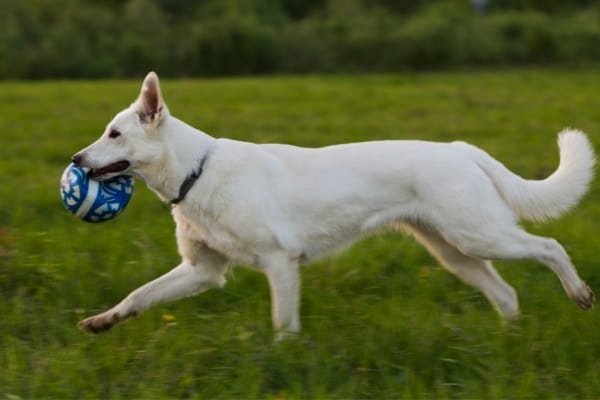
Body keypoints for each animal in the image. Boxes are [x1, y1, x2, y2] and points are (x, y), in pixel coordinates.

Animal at [74, 72, 596, 338]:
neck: (196, 170)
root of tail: (460, 148)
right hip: (455, 252)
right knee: (506, 294)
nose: (76, 160)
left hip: (480, 235)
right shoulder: (202, 271)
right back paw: (510, 339)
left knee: (550, 247)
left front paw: (283, 357)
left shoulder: (280, 263)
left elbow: (283, 324)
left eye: (114, 134)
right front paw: (102, 321)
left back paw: (579, 294)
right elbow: (139, 295)